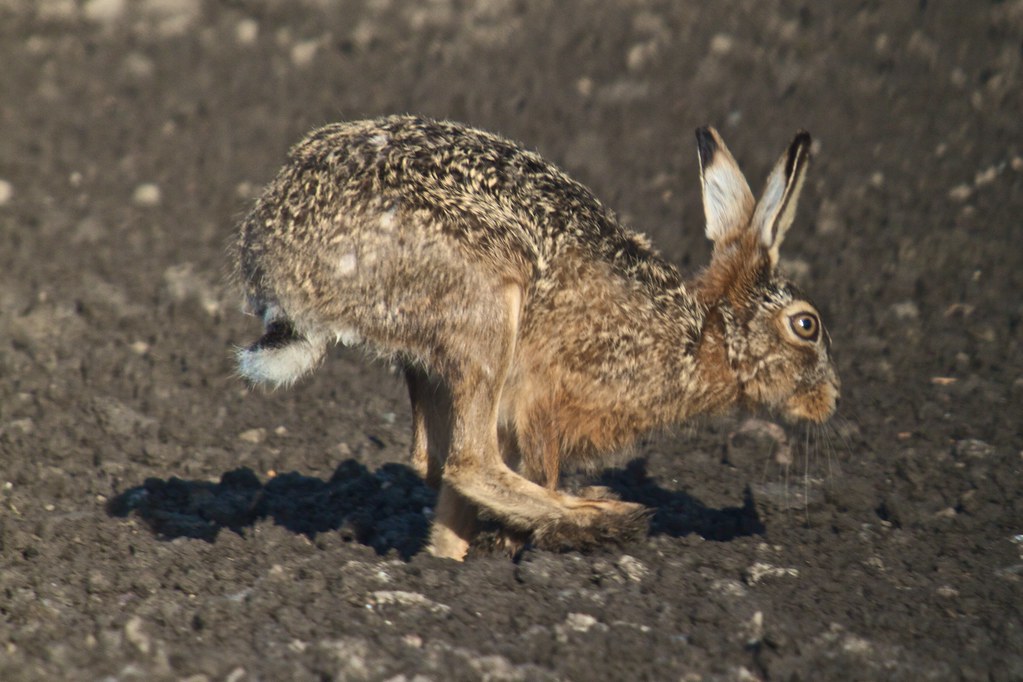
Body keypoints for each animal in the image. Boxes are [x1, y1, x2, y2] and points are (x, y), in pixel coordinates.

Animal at [233, 115, 839, 560]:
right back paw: (605, 517)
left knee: (436, 459)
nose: (831, 400)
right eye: (806, 325)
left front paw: (454, 559)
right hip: (490, 302)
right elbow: (532, 466)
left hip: (434, 354)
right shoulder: (546, 404)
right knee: (469, 462)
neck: (704, 334)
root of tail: (276, 259)